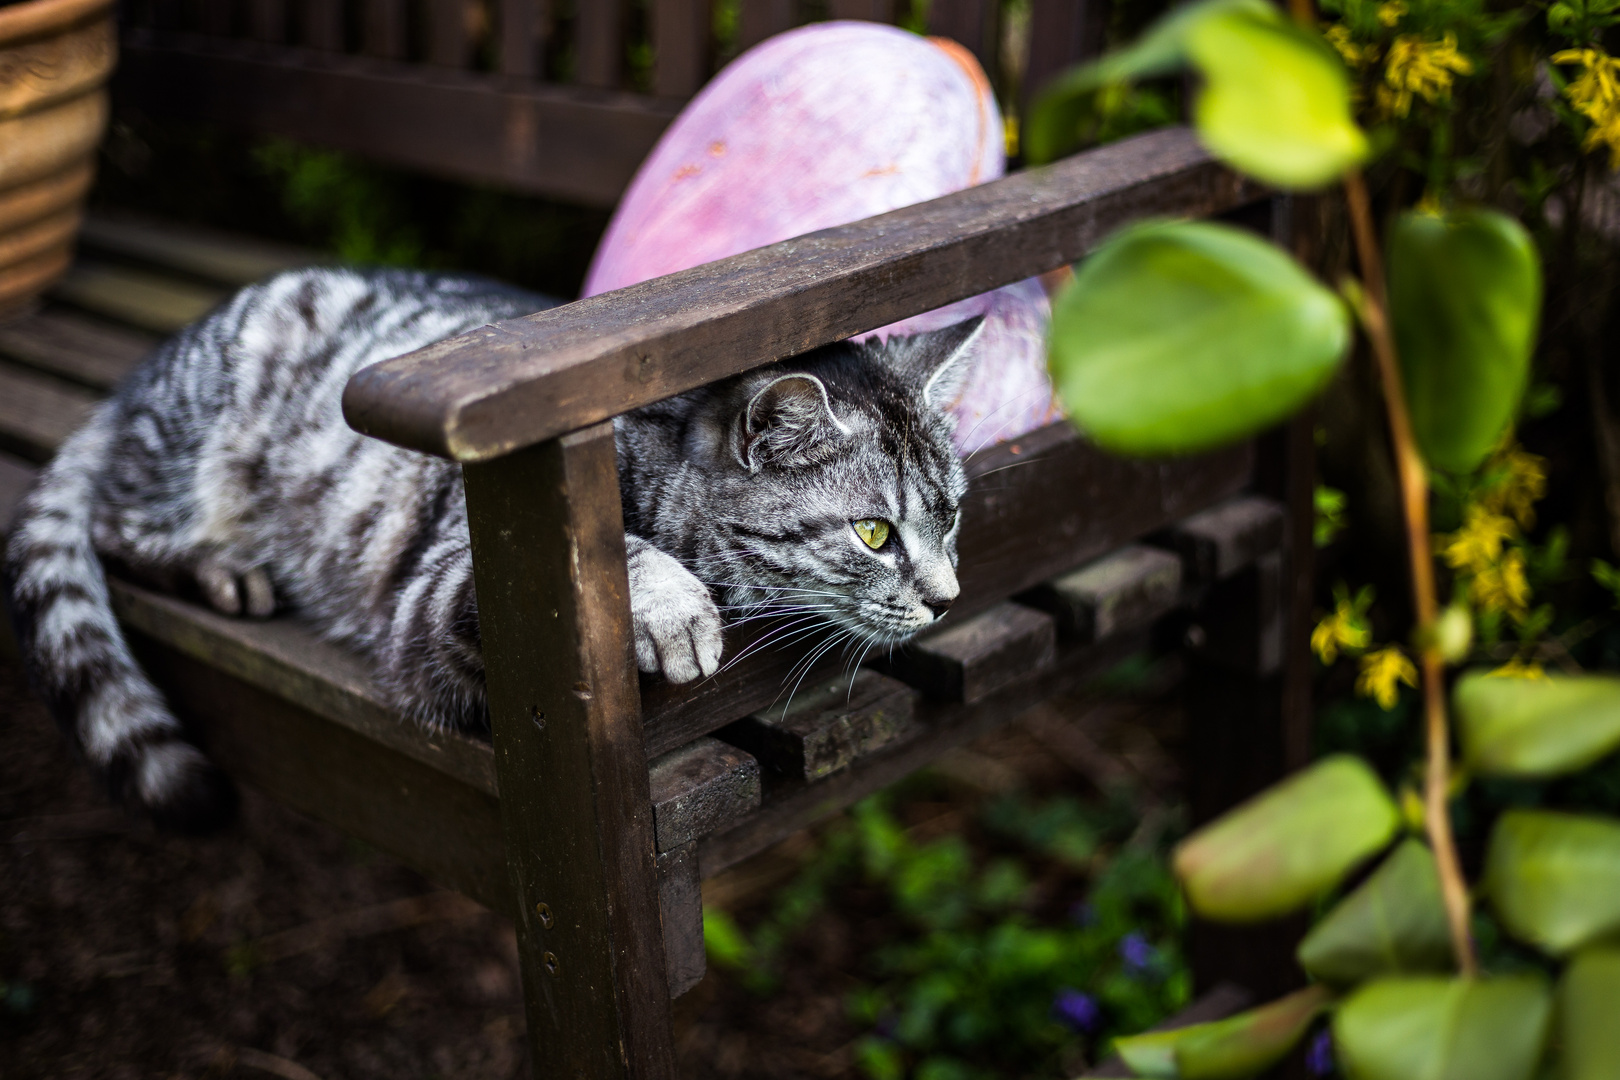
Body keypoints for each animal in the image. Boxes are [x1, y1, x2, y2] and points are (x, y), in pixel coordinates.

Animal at [6, 265, 978, 835]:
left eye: (954, 516)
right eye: (875, 533)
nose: (947, 597)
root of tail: (129, 385)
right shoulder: (433, 605)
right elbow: (611, 558)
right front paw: (668, 603)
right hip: (191, 462)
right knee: (111, 527)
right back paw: (224, 572)